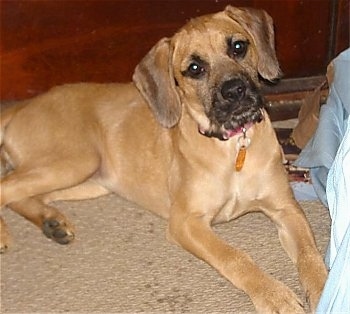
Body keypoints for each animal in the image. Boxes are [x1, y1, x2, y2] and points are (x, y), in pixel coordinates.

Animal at [0, 5, 328, 314]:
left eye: (238, 46)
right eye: (194, 68)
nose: (235, 90)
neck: (233, 146)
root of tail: (22, 106)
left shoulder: (286, 208)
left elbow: (310, 255)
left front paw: (326, 288)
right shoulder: (185, 222)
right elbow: (235, 257)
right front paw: (273, 295)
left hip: (88, 178)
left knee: (22, 194)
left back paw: (51, 221)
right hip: (74, 161)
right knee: (6, 186)